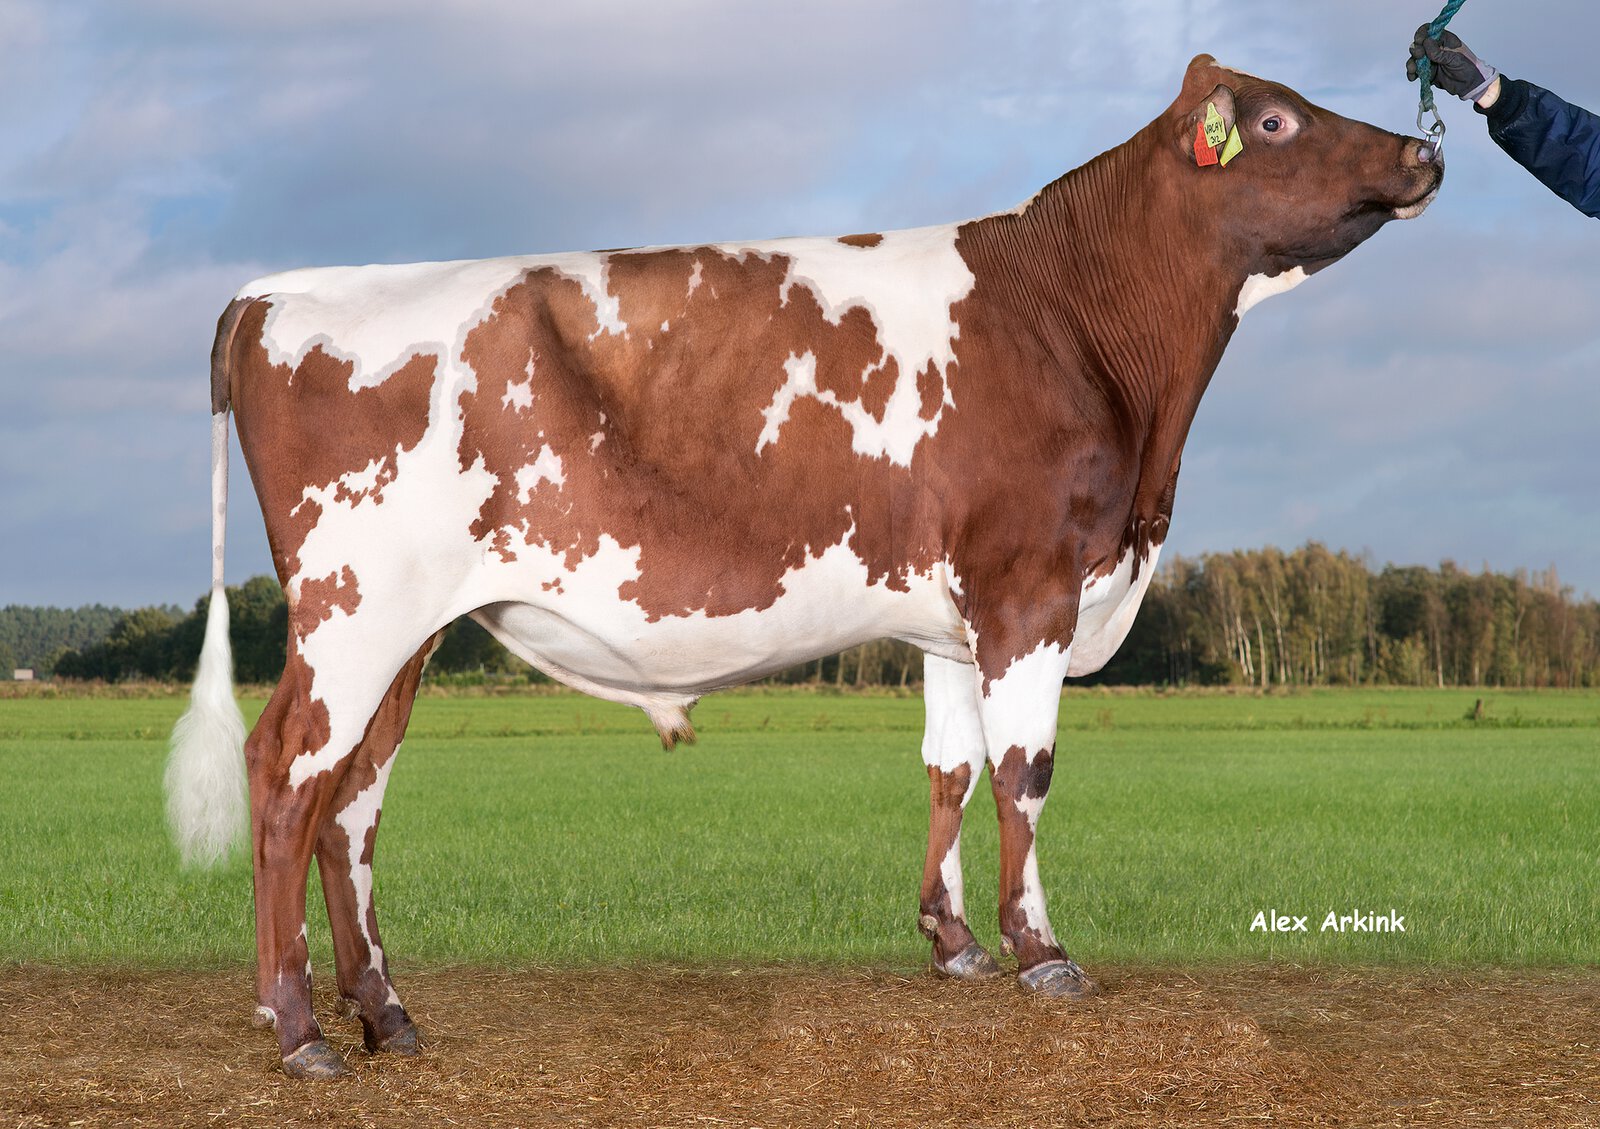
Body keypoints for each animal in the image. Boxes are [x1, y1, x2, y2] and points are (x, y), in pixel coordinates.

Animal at [167, 55, 1442, 1077]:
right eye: (1274, 120)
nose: (1423, 149)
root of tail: (281, 289)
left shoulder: (952, 614)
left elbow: (949, 769)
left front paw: (953, 943)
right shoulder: (1028, 585)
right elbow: (1023, 770)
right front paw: (1042, 952)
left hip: (408, 631)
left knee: (354, 797)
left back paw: (387, 1013)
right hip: (353, 611)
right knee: (287, 772)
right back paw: (298, 1027)